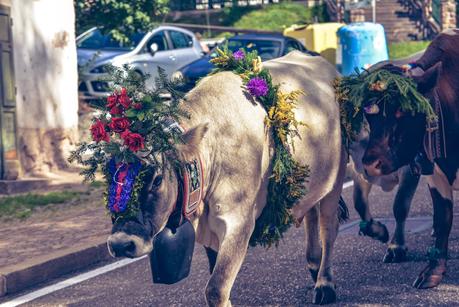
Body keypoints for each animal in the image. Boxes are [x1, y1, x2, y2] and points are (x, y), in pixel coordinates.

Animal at [362, 29, 459, 292]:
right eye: (369, 116)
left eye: (402, 111)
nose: (370, 163)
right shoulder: (435, 173)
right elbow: (442, 218)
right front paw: (433, 271)